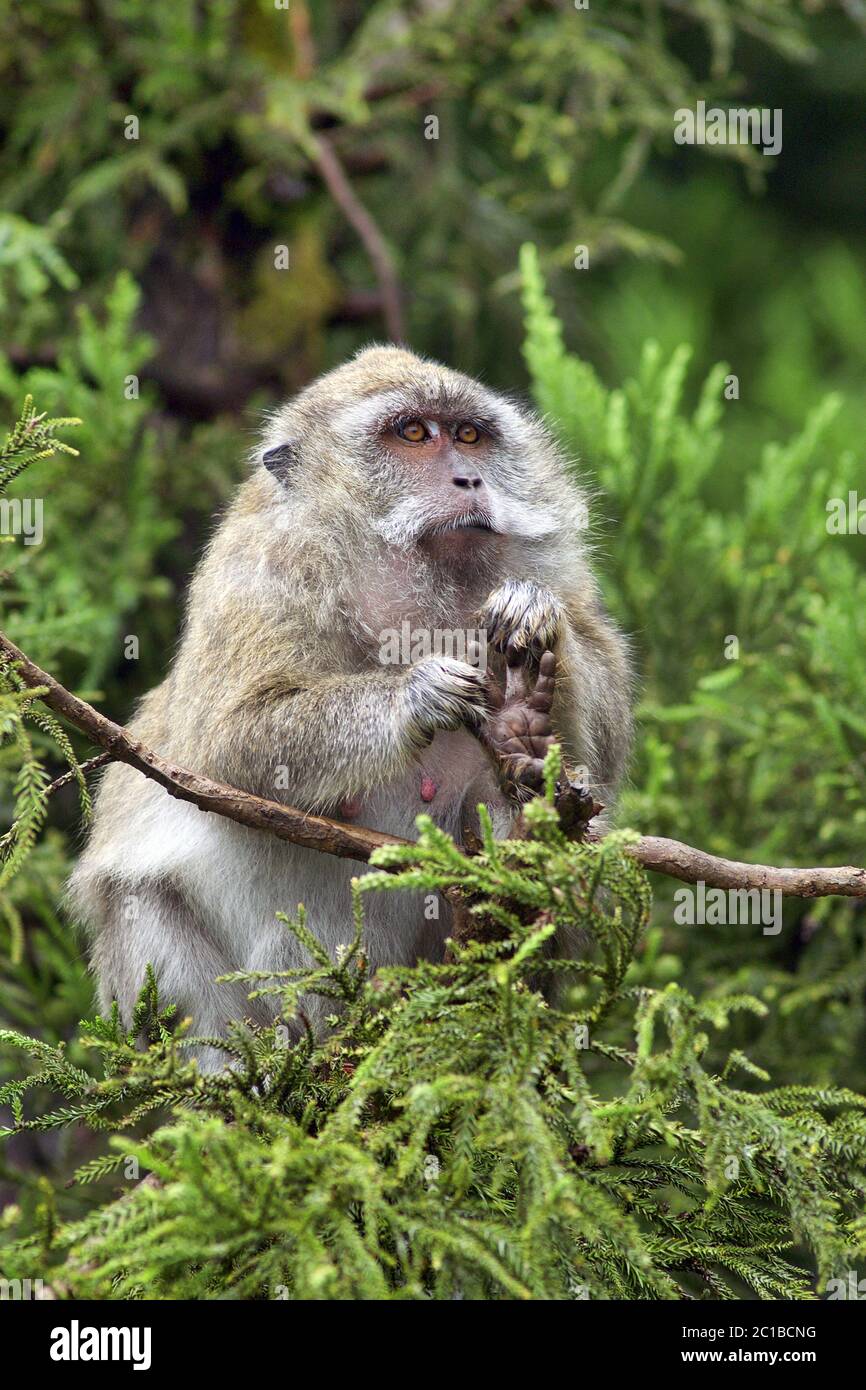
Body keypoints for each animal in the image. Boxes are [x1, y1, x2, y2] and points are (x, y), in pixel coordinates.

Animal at [69, 345, 631, 1059]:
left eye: (469, 435)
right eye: (413, 433)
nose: (471, 481)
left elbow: (607, 735)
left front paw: (537, 621)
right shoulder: (257, 573)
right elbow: (226, 743)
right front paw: (414, 696)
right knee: (142, 903)